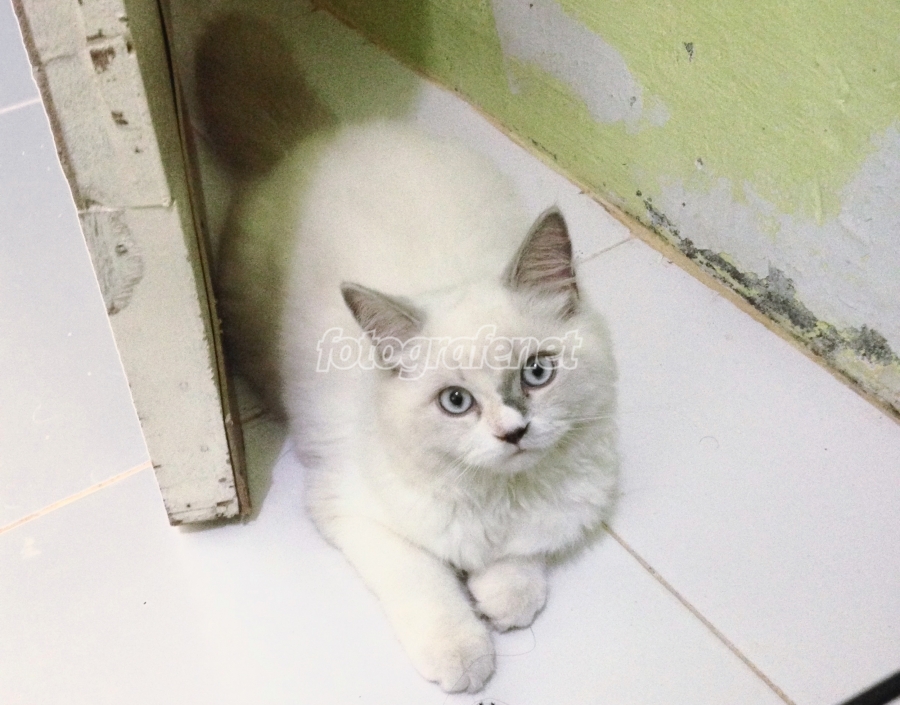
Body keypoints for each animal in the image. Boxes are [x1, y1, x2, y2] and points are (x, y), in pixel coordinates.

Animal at [195, 13, 618, 693]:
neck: (496, 497)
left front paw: (501, 598)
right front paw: (465, 657)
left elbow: (522, 564)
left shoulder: (555, 516)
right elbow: (430, 587)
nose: (514, 432)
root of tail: (319, 137)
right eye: (456, 401)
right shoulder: (358, 512)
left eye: (537, 372)